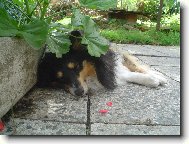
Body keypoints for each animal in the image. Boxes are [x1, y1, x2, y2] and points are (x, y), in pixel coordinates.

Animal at [37, 30, 167, 95]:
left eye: (77, 67)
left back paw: (159, 75)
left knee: (137, 65)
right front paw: (151, 80)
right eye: (59, 79)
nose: (79, 92)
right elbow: (128, 75)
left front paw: (156, 78)